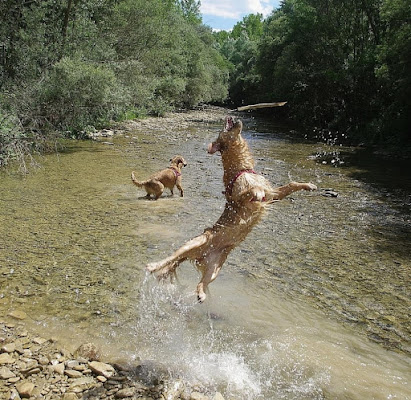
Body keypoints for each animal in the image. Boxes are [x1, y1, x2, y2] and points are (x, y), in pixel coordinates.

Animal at [146, 117, 318, 302]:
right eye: (222, 130)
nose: (230, 117)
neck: (243, 169)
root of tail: (201, 254)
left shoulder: (273, 194)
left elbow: (291, 185)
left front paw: (309, 185)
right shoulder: (238, 199)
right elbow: (249, 191)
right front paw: (255, 191)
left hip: (215, 268)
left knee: (200, 283)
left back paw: (200, 295)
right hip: (194, 243)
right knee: (170, 257)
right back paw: (153, 265)